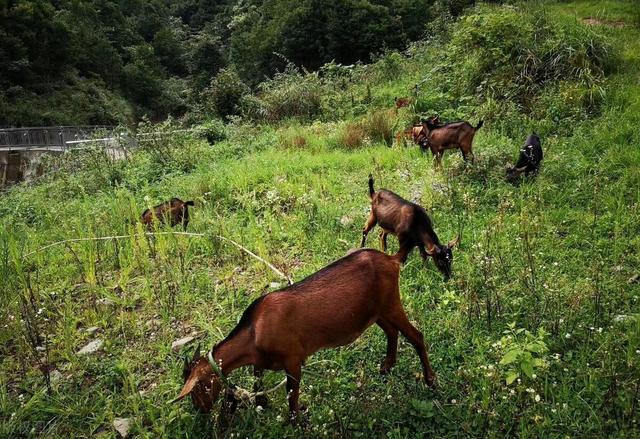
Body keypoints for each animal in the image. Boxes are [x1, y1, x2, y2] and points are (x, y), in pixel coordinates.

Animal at [172, 249, 438, 424]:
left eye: (198, 389)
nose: (201, 410)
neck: (254, 332)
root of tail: (392, 259)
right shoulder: (262, 360)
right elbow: (257, 376)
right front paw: (262, 403)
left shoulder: (293, 360)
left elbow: (292, 393)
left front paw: (295, 421)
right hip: (375, 313)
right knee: (392, 332)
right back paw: (386, 366)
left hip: (392, 304)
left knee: (416, 336)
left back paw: (430, 380)